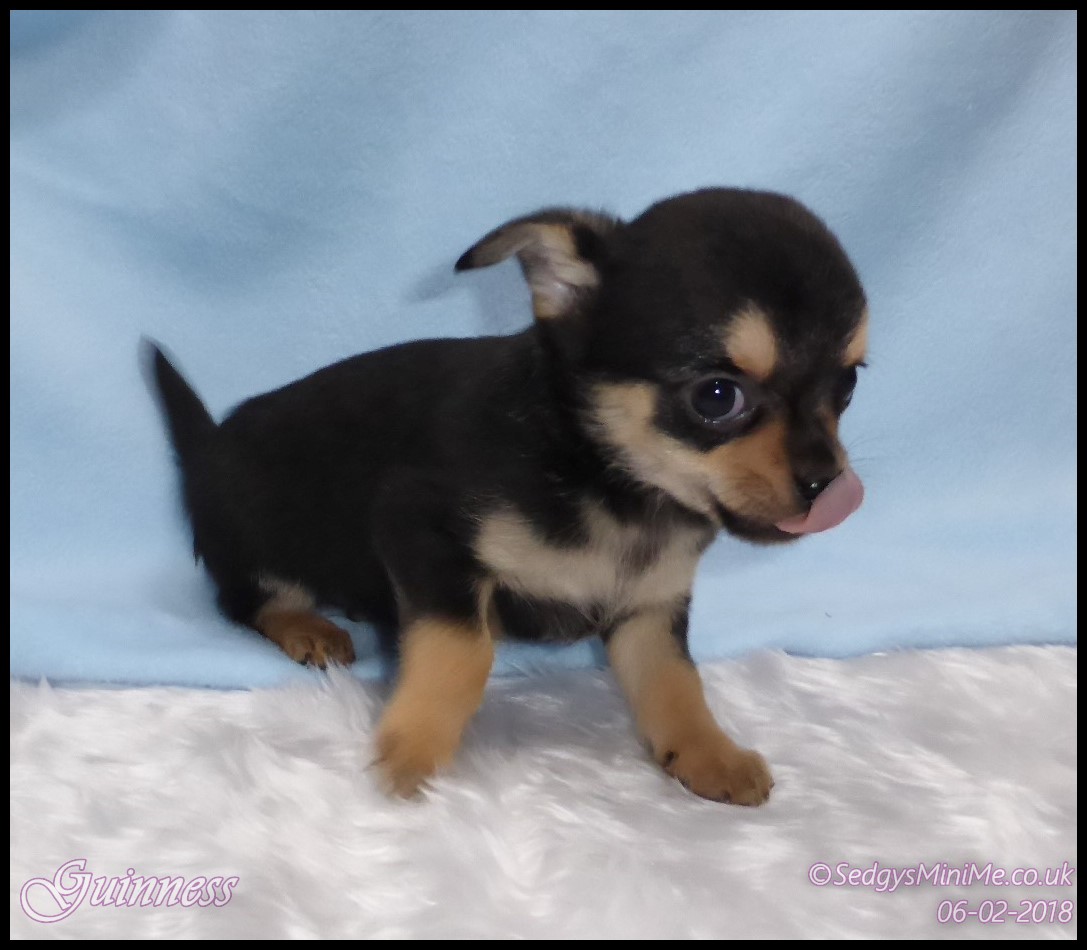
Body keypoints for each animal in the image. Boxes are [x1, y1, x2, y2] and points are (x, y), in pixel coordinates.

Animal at [149, 187, 867, 805]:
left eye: (849, 383)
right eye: (717, 396)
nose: (827, 483)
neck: (610, 484)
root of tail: (209, 444)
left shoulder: (650, 606)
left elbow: (673, 682)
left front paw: (707, 754)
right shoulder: (421, 532)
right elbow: (465, 651)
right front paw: (411, 751)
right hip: (259, 537)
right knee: (248, 600)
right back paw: (308, 627)